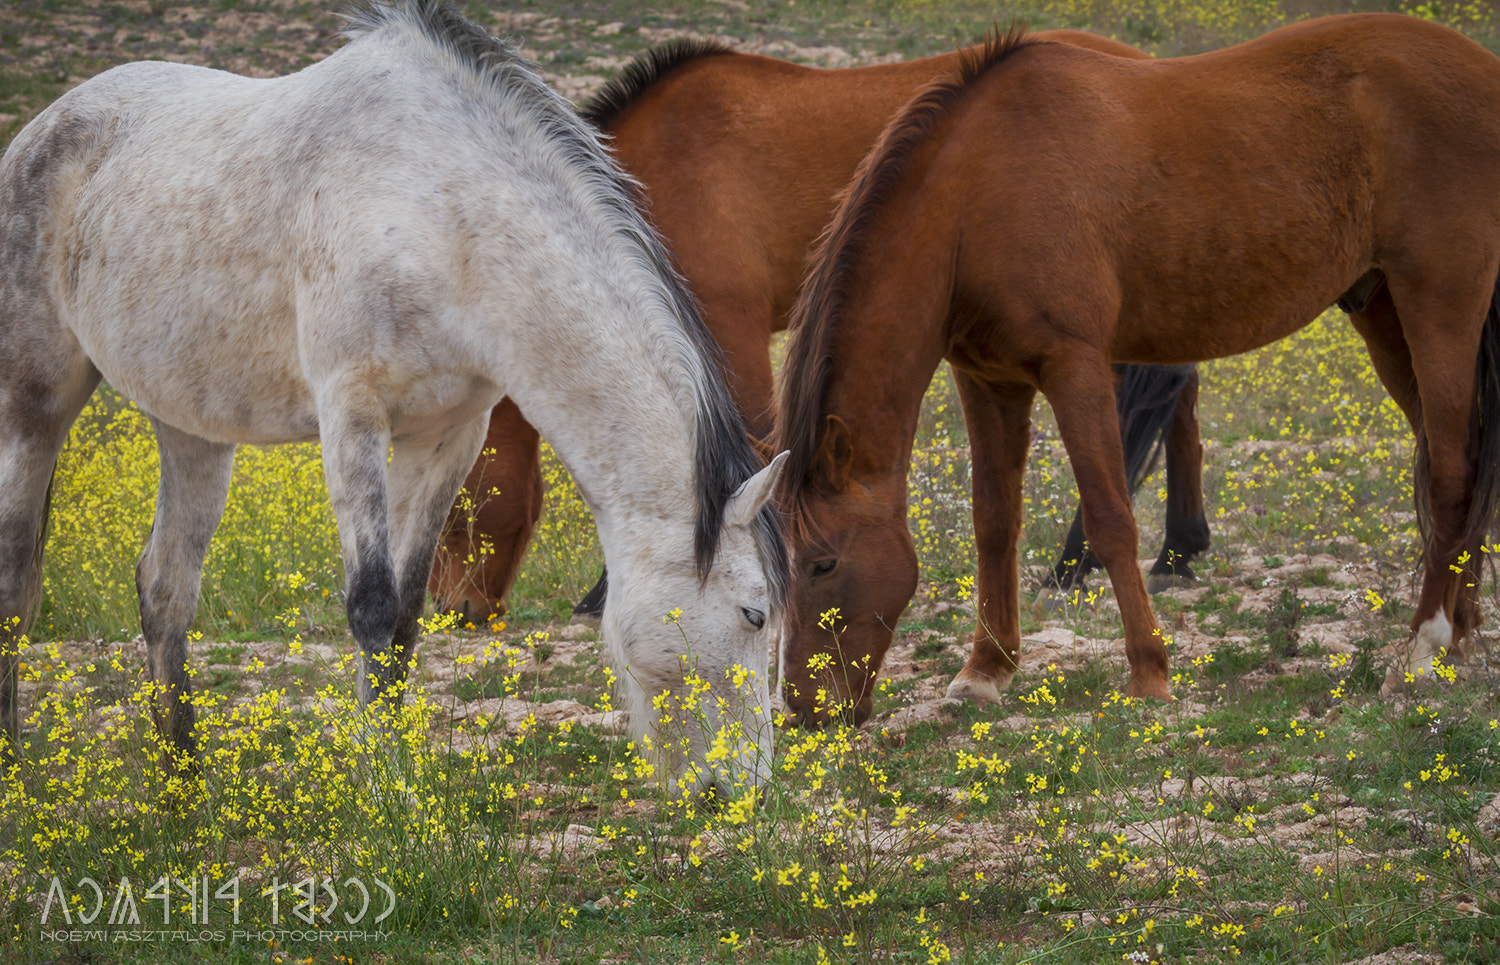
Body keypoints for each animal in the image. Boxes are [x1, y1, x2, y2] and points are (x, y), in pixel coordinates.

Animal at [0, 0, 788, 795]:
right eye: (755, 614)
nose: (747, 790)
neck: (439, 211)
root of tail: (42, 128)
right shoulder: (353, 416)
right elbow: (372, 608)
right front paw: (382, 795)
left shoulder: (447, 434)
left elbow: (407, 619)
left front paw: (394, 776)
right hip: (32, 407)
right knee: (15, 588)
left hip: (192, 425)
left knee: (165, 590)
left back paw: (184, 793)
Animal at [429, 33, 1213, 627]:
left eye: (457, 506)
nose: (448, 611)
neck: (652, 172)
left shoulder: (731, 330)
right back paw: (1179, 549)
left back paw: (1087, 559)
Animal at [773, 15, 1500, 726]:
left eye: (822, 563)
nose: (804, 709)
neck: (976, 192)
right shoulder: (989, 381)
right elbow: (994, 524)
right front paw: (985, 671)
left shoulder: (1075, 366)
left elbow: (1111, 518)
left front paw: (1150, 671)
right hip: (1382, 312)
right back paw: (1460, 635)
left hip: (1439, 304)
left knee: (1450, 471)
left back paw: (1425, 646)